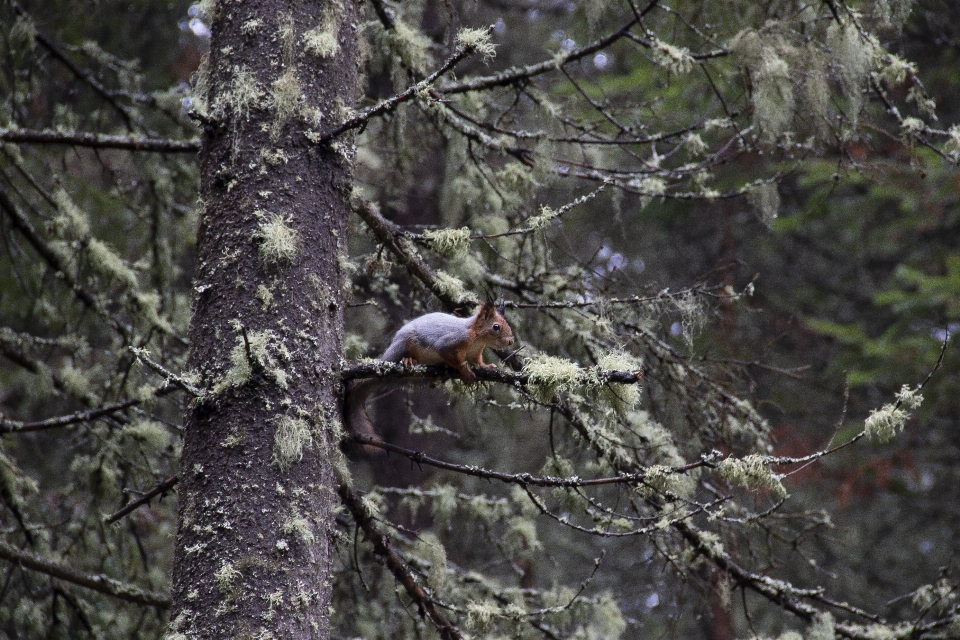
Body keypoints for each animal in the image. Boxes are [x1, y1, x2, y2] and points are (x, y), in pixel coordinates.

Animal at [344, 302, 510, 452]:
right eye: (496, 327)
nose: (510, 341)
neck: (477, 339)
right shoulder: (450, 342)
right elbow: (453, 358)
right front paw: (466, 372)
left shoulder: (475, 354)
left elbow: (478, 362)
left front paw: (487, 366)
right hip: (402, 345)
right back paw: (409, 360)